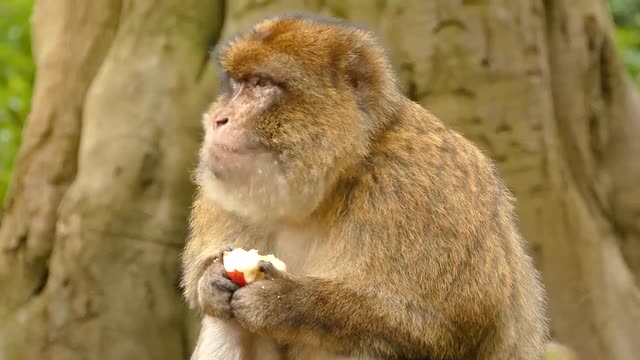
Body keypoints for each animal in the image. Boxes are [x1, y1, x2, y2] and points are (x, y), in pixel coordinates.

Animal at [181, 14, 552, 360]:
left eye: (261, 83)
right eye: (236, 84)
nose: (220, 119)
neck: (335, 181)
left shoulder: (423, 189)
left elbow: (449, 325)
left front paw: (286, 301)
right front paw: (209, 280)